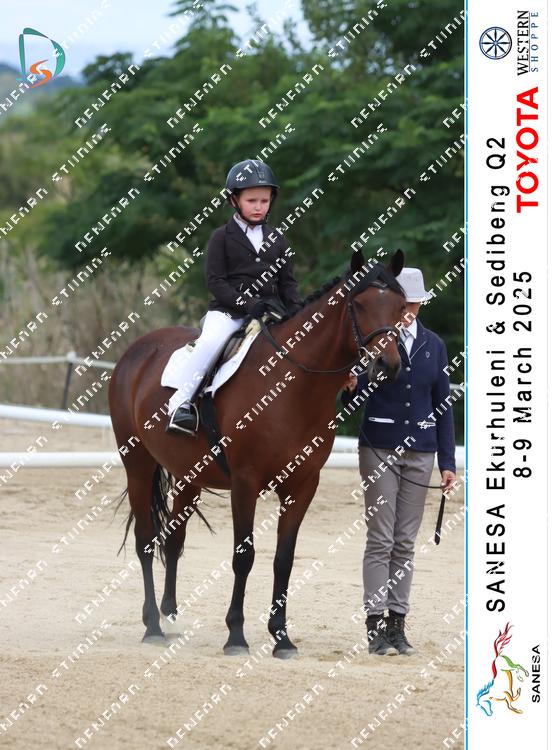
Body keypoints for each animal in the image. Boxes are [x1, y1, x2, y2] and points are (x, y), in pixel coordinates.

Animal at [108, 248, 407, 657]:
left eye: (400, 306)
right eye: (358, 305)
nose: (387, 366)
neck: (292, 385)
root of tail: (137, 351)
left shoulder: (302, 486)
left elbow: (284, 559)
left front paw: (282, 637)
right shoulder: (245, 483)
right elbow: (244, 556)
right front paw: (236, 635)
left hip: (188, 475)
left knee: (173, 539)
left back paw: (170, 618)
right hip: (137, 464)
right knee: (145, 540)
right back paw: (153, 625)